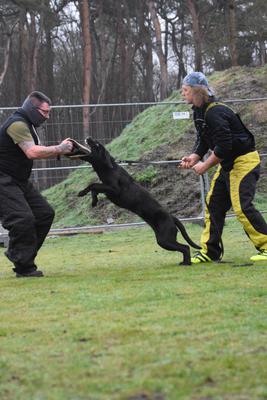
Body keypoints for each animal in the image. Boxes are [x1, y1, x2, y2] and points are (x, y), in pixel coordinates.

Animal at [76, 138, 200, 266]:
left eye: (96, 145)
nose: (88, 137)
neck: (109, 168)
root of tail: (171, 216)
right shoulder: (106, 188)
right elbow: (95, 188)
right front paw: (93, 201)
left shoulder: (114, 189)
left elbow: (93, 185)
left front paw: (81, 192)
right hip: (165, 239)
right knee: (185, 247)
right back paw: (185, 262)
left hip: (164, 239)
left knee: (185, 247)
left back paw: (186, 263)